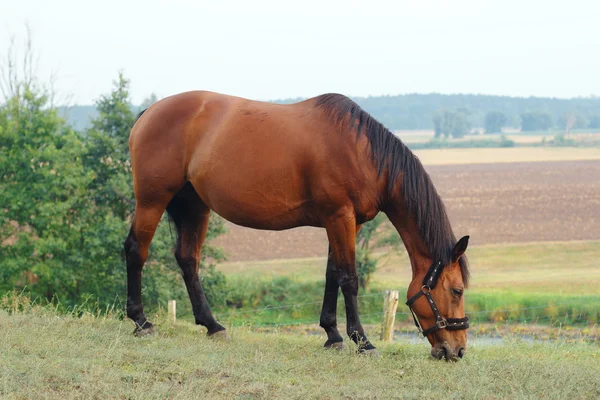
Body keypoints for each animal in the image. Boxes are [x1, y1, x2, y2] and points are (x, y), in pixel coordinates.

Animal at [124, 90, 472, 360]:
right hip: (152, 201)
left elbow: (332, 274)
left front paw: (333, 336)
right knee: (136, 251)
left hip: (195, 207)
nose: (456, 350)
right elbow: (349, 278)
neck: (363, 152)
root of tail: (149, 112)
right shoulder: (340, 217)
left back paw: (213, 326)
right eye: (457, 290)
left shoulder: (345, 222)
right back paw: (141, 322)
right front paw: (363, 342)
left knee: (188, 259)